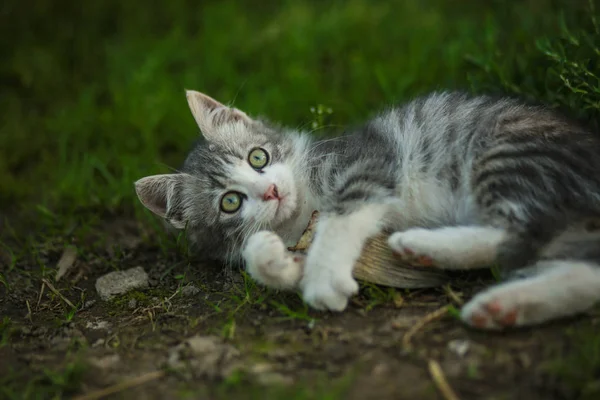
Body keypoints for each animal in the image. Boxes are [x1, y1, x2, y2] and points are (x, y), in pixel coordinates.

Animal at [135, 90, 600, 332]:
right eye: (230, 202)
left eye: (258, 157)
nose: (271, 191)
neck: (303, 207)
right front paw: (272, 258)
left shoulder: (369, 163)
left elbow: (341, 217)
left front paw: (323, 277)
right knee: (585, 274)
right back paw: (504, 305)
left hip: (508, 154)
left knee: (514, 229)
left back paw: (424, 245)